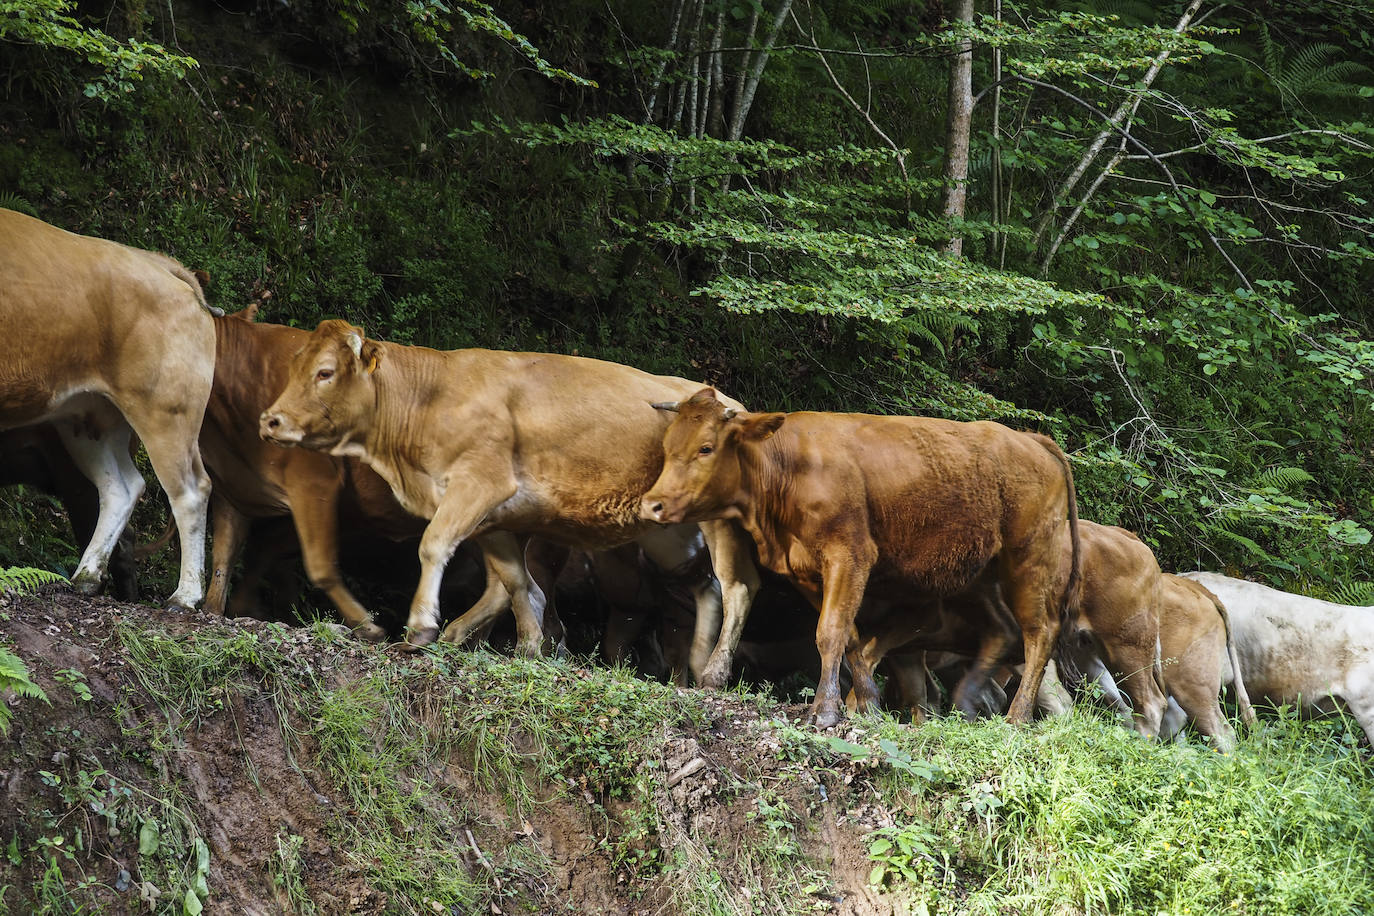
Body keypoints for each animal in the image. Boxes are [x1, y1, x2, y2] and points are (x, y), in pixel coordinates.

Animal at [0, 207, 211, 609]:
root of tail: (156, 261)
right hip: (87, 417)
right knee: (121, 487)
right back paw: (86, 576)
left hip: (166, 409)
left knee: (191, 492)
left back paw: (185, 595)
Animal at [637, 390, 1077, 725]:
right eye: (668, 446)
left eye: (706, 447)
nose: (651, 504)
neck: (789, 469)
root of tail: (1028, 437)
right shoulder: (806, 571)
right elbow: (849, 635)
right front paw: (866, 702)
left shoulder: (849, 555)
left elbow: (830, 632)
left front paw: (826, 710)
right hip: (978, 574)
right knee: (1002, 630)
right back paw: (967, 699)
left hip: (1030, 558)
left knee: (1039, 633)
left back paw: (1017, 716)